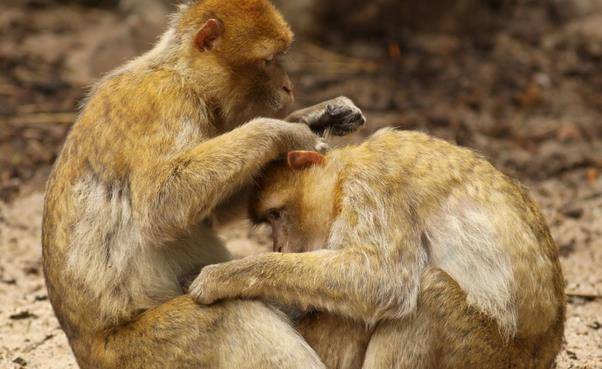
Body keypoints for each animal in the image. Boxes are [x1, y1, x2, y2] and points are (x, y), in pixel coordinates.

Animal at [42, 0, 364, 368]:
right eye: (269, 60)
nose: (289, 87)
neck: (181, 73)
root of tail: (84, 349)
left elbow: (207, 215)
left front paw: (318, 115)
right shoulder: (165, 101)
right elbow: (161, 206)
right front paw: (284, 131)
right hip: (143, 353)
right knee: (230, 314)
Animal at [190, 128, 564, 366]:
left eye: (276, 215)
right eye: (269, 221)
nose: (280, 246)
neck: (344, 174)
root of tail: (546, 349)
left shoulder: (372, 186)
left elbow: (384, 278)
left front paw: (227, 276)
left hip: (485, 354)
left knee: (427, 292)